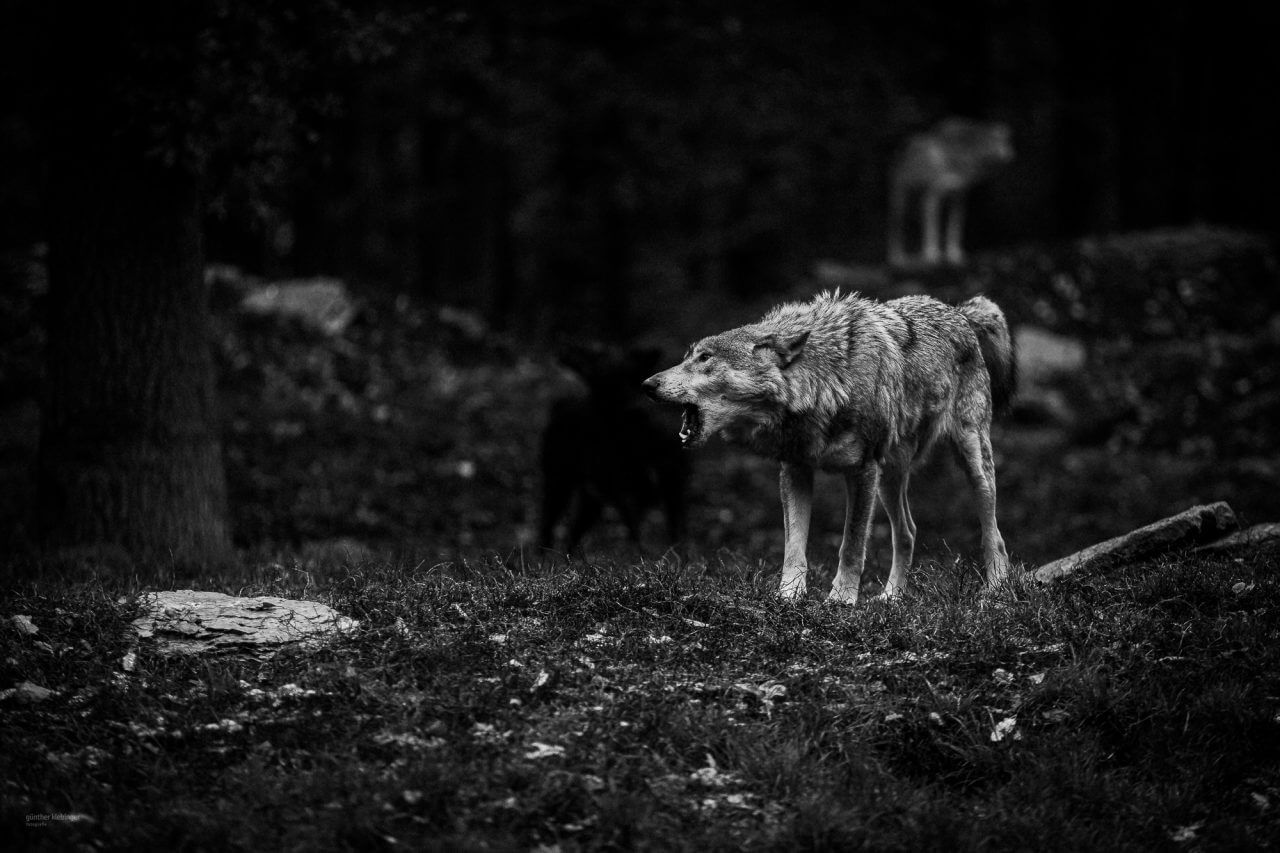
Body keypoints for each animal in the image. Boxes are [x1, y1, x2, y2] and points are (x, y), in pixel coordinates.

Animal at [540, 340, 691, 548]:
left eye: (596, 354)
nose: (563, 350)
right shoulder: (621, 487)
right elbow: (638, 535)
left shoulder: (672, 480)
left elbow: (677, 533)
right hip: (559, 474)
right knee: (548, 524)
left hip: (589, 492)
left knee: (572, 532)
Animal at [645, 289, 1013, 601]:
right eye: (688, 357)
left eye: (705, 358)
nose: (647, 384)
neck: (827, 382)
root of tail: (957, 311)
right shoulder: (795, 469)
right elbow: (794, 546)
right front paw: (788, 597)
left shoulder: (862, 471)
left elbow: (851, 545)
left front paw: (840, 600)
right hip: (889, 479)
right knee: (908, 531)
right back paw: (891, 598)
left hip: (972, 463)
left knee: (993, 533)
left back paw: (995, 591)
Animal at [885, 117, 1013, 266]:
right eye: (998, 143)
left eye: (1006, 142)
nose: (1010, 155)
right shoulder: (932, 196)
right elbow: (933, 228)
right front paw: (931, 255)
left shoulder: (959, 197)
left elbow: (954, 229)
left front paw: (954, 255)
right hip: (900, 204)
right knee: (895, 229)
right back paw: (897, 258)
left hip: (914, 205)